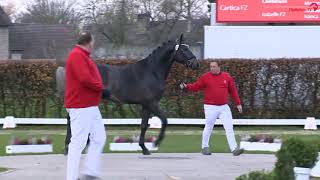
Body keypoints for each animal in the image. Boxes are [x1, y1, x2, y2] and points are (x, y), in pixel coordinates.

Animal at [57, 34, 198, 155]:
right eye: (184, 49)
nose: (196, 64)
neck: (151, 71)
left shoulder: (146, 105)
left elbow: (144, 125)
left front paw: (144, 148)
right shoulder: (152, 103)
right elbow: (164, 120)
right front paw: (156, 143)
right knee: (71, 120)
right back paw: (69, 147)